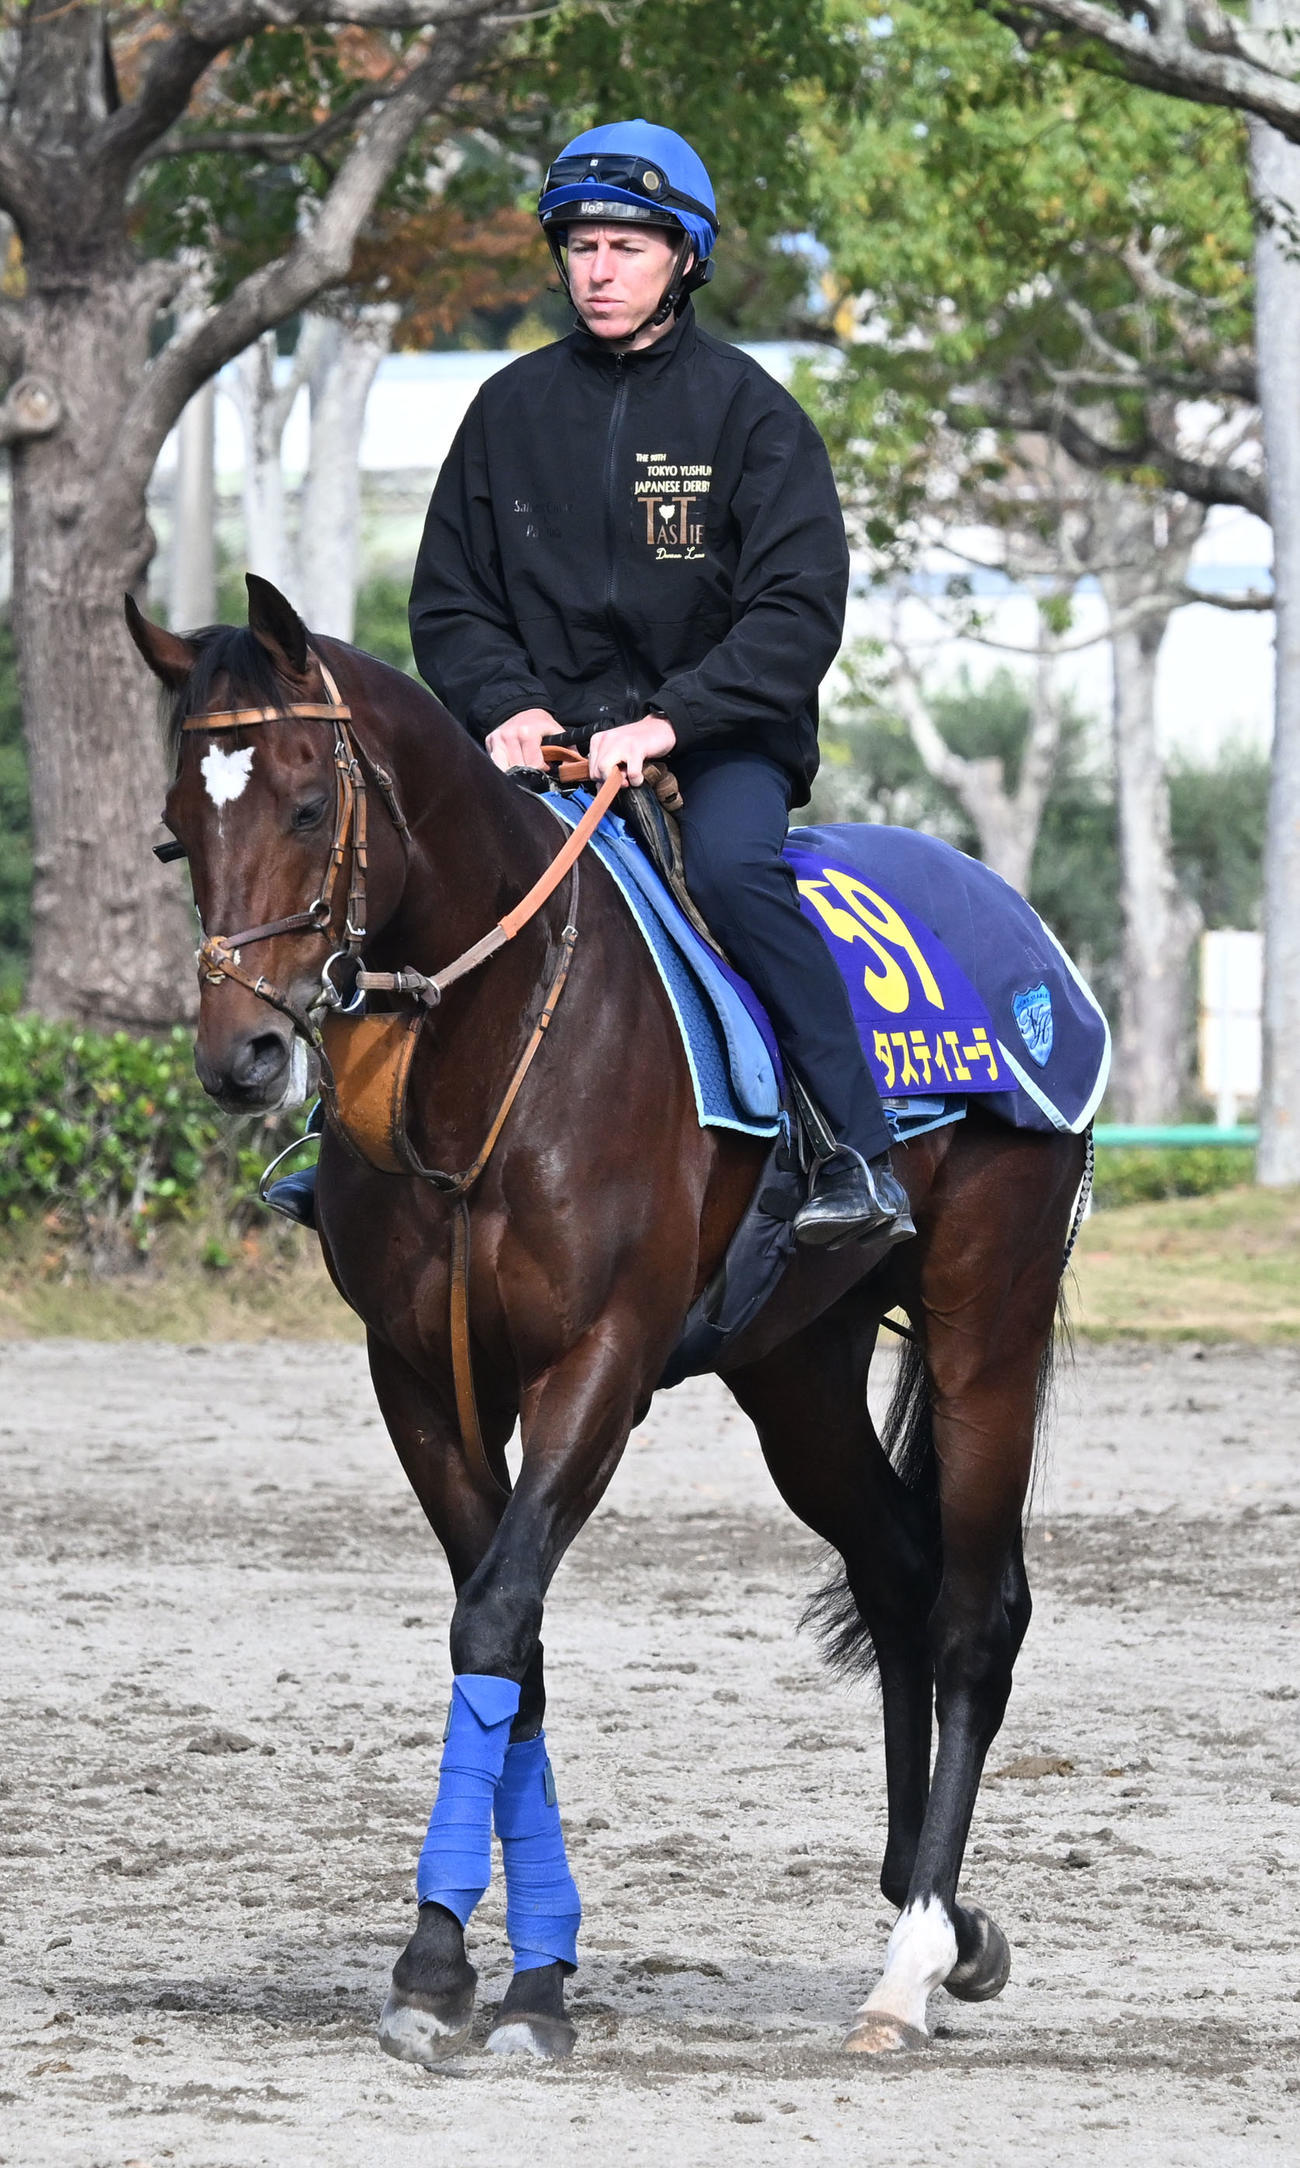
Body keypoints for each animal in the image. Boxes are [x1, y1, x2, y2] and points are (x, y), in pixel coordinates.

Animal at [127, 574, 1087, 2064]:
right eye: (179, 826)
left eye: (303, 802)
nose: (244, 1056)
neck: (494, 1049)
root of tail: (1026, 939)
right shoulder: (420, 1382)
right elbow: (507, 1638)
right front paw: (471, 1961)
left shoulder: (599, 1367)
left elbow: (493, 1620)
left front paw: (488, 1974)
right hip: (797, 1376)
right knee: (898, 1575)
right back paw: (940, 1919)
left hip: (989, 1325)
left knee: (976, 1614)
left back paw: (913, 1951)